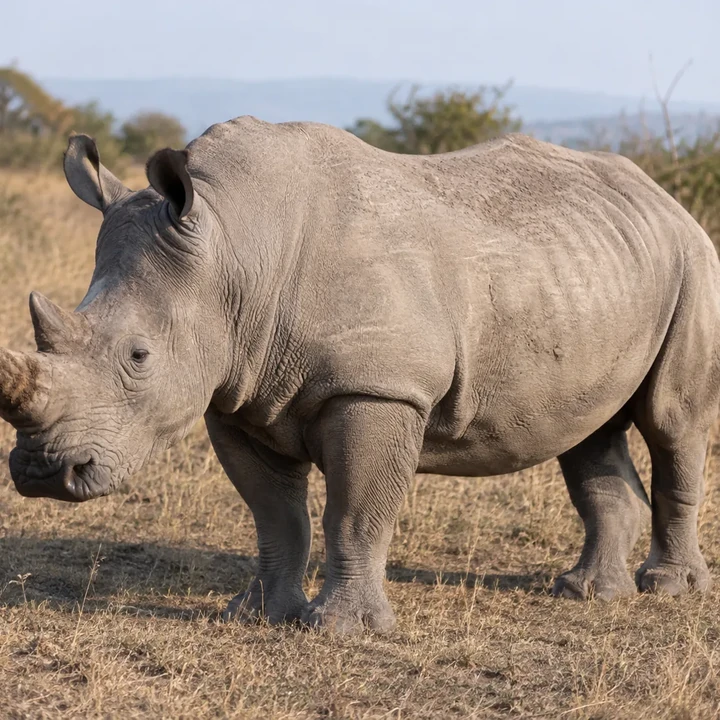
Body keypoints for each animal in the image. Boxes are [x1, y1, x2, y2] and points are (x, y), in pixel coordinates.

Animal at [0, 119, 718, 634]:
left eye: (139, 357)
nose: (42, 473)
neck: (234, 249)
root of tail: (663, 198)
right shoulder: (235, 392)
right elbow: (274, 514)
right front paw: (257, 614)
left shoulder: (376, 387)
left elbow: (356, 509)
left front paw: (343, 630)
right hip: (593, 272)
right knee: (587, 429)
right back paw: (586, 593)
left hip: (692, 260)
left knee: (672, 421)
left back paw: (667, 589)